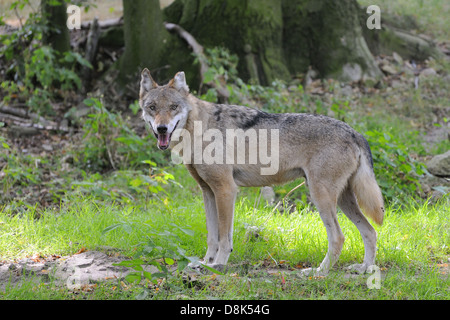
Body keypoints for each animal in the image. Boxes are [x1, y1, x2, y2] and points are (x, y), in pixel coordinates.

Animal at [139, 69, 384, 276]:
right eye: (152, 107)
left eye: (173, 107)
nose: (162, 128)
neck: (200, 128)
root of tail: (354, 132)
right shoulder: (207, 192)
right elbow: (211, 237)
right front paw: (204, 263)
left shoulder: (226, 190)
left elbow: (224, 237)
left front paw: (218, 265)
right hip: (343, 200)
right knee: (370, 231)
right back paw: (365, 269)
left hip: (321, 197)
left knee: (339, 237)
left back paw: (318, 272)